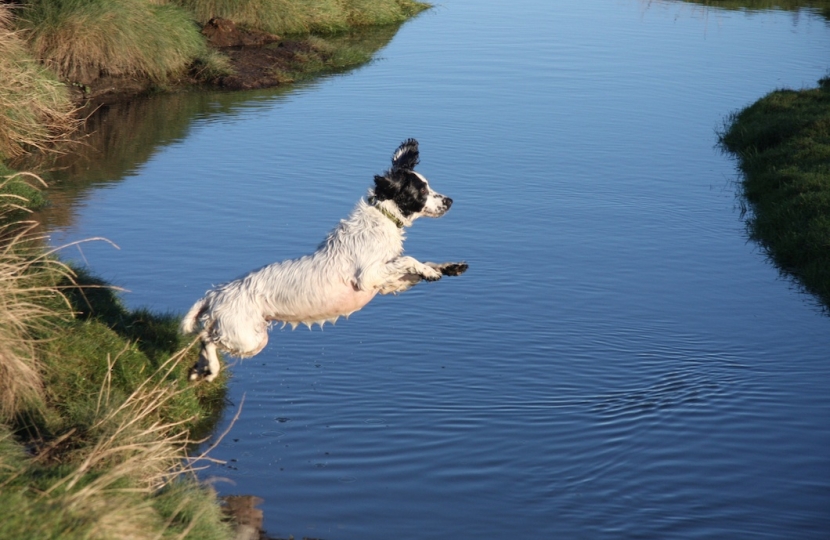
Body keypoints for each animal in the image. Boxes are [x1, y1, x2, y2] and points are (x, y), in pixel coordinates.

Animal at [182, 140, 468, 384]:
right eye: (421, 190)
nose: (450, 201)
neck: (380, 220)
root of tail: (216, 294)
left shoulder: (385, 284)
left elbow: (416, 266)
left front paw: (446, 267)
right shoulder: (368, 277)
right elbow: (409, 259)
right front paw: (429, 271)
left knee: (204, 339)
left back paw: (199, 370)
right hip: (249, 338)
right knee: (206, 337)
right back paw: (211, 369)